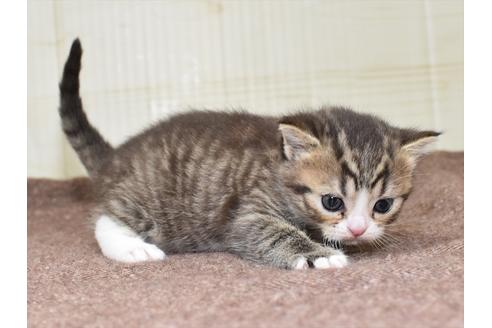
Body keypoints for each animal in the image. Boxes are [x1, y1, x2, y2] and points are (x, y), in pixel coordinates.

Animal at [57, 39, 438, 270]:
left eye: (383, 205)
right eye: (332, 202)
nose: (359, 230)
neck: (278, 165)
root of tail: (117, 156)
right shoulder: (247, 211)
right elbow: (273, 232)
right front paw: (320, 255)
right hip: (148, 201)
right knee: (106, 218)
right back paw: (133, 247)